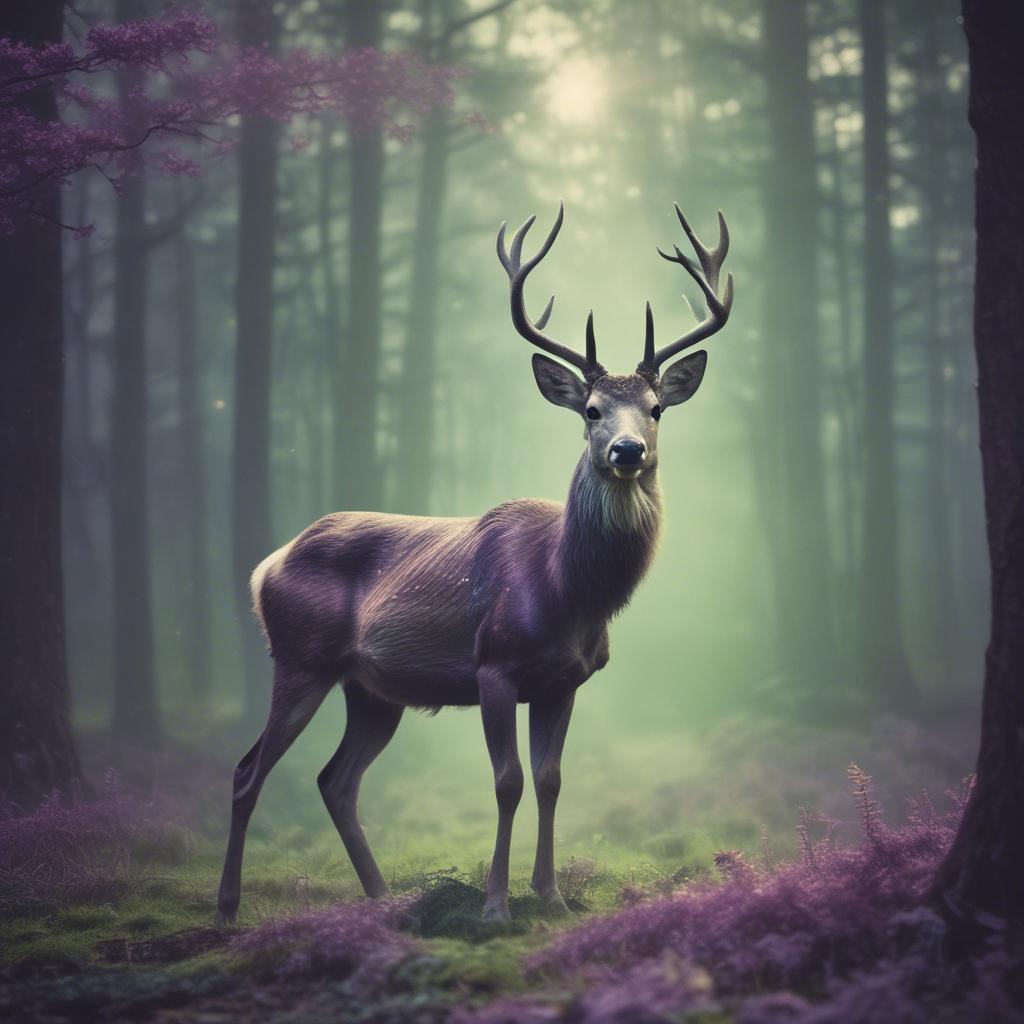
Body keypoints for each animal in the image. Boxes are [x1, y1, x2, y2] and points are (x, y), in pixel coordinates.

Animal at [216, 202, 734, 925]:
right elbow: (507, 781)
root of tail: (265, 567)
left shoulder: (565, 681)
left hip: (370, 689)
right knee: (248, 769)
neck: (566, 589)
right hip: (299, 658)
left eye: (657, 409)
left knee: (335, 779)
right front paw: (494, 906)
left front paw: (550, 897)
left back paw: (383, 899)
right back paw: (228, 904)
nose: (627, 450)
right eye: (591, 411)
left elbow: (550, 780)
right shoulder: (494, 665)